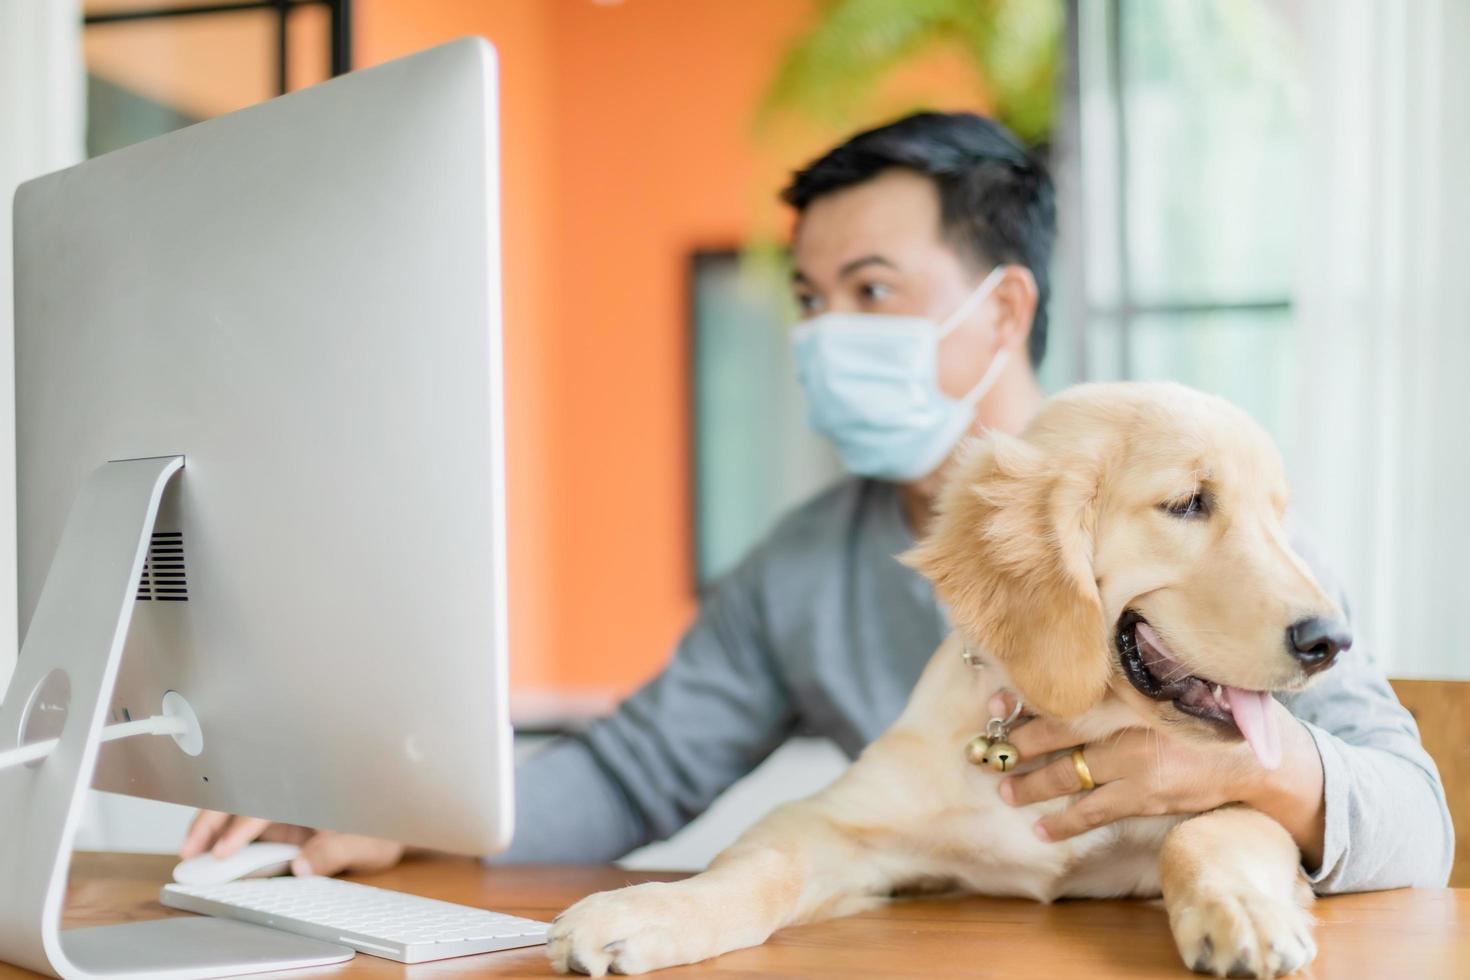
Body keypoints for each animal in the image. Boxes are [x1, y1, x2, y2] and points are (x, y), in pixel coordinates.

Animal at [549, 382, 1346, 980]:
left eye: (1279, 520)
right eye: (1187, 503)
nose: (1331, 641)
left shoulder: (1239, 800)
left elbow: (1204, 836)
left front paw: (1243, 915)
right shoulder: (833, 822)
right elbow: (759, 866)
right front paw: (644, 911)